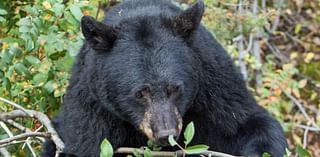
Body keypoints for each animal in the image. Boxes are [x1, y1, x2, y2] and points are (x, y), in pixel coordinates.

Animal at [42, 0, 288, 156]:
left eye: (176, 89)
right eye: (140, 93)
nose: (165, 134)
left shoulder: (214, 83)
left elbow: (247, 123)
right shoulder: (93, 107)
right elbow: (85, 143)